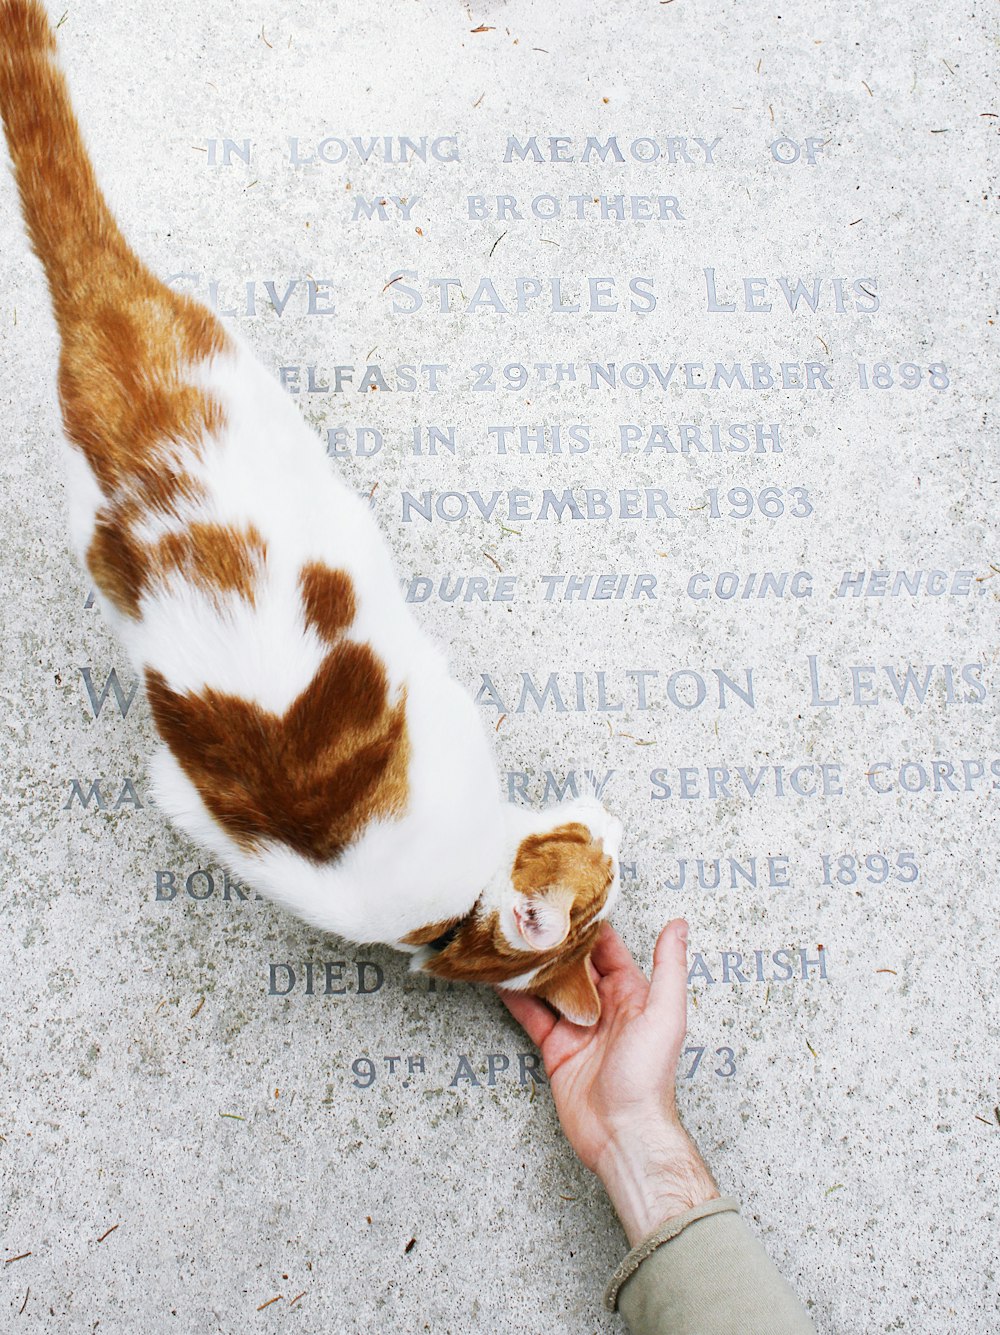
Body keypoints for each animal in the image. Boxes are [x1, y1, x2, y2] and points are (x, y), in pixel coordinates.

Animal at [0, 0, 619, 1025]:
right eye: (600, 870)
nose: (615, 823)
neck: (446, 913)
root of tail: (97, 315)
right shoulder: (442, 717)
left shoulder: (191, 802)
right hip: (265, 406)